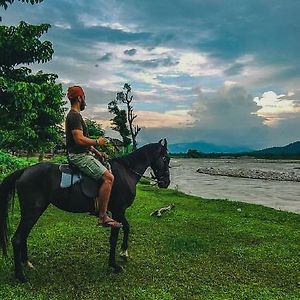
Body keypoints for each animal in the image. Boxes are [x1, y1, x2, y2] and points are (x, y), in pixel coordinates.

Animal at [0, 139, 169, 282]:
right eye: (165, 159)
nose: (166, 182)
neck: (126, 173)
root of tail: (24, 171)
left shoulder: (118, 212)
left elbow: (127, 228)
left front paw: (124, 252)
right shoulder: (118, 211)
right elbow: (114, 238)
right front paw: (114, 265)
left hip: (33, 211)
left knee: (24, 236)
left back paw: (26, 263)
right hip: (32, 211)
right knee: (17, 239)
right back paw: (21, 276)